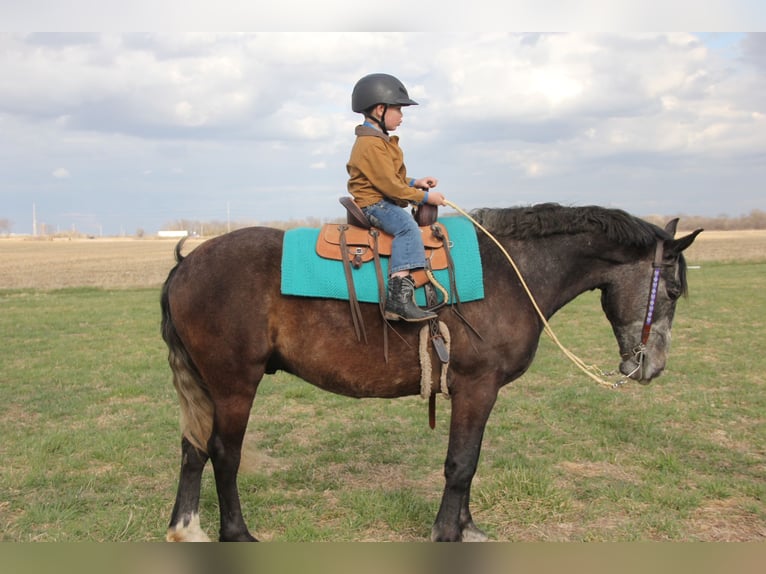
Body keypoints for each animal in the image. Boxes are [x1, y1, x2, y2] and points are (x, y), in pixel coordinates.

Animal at [160, 202, 702, 542]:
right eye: (673, 291)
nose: (652, 367)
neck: (511, 272)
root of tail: (185, 265)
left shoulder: (475, 393)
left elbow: (469, 462)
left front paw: (467, 527)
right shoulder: (477, 387)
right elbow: (460, 464)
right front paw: (447, 533)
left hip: (206, 387)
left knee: (192, 450)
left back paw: (187, 529)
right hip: (234, 385)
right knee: (223, 454)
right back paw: (236, 533)